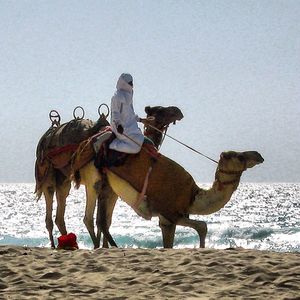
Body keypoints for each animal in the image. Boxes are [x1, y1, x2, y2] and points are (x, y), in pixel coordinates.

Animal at [35, 105, 185, 248]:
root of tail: (49, 135)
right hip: (52, 177)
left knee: (61, 215)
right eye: (161, 110)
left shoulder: (111, 192)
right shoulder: (102, 187)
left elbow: (105, 221)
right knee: (69, 213)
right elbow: (99, 221)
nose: (178, 112)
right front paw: (104, 247)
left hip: (63, 179)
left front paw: (105, 246)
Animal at [74, 148, 264, 248]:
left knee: (99, 219)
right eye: (239, 156)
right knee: (96, 218)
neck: (193, 196)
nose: (258, 155)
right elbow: (200, 227)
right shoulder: (170, 215)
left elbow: (194, 230)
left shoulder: (168, 219)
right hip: (95, 178)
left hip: (108, 186)